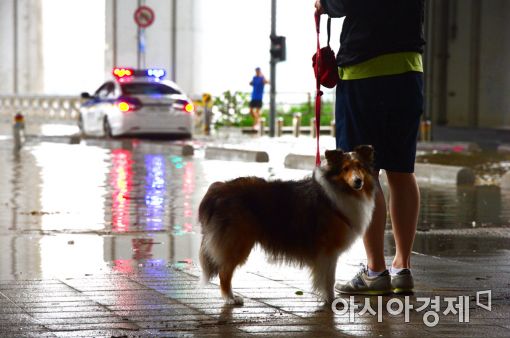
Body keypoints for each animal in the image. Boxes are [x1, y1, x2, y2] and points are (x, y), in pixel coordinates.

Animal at [197, 147, 376, 304]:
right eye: (345, 169)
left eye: (360, 167)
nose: (358, 181)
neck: (340, 190)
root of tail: (218, 189)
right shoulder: (328, 251)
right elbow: (328, 279)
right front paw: (331, 300)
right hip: (238, 242)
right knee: (224, 272)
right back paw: (230, 298)